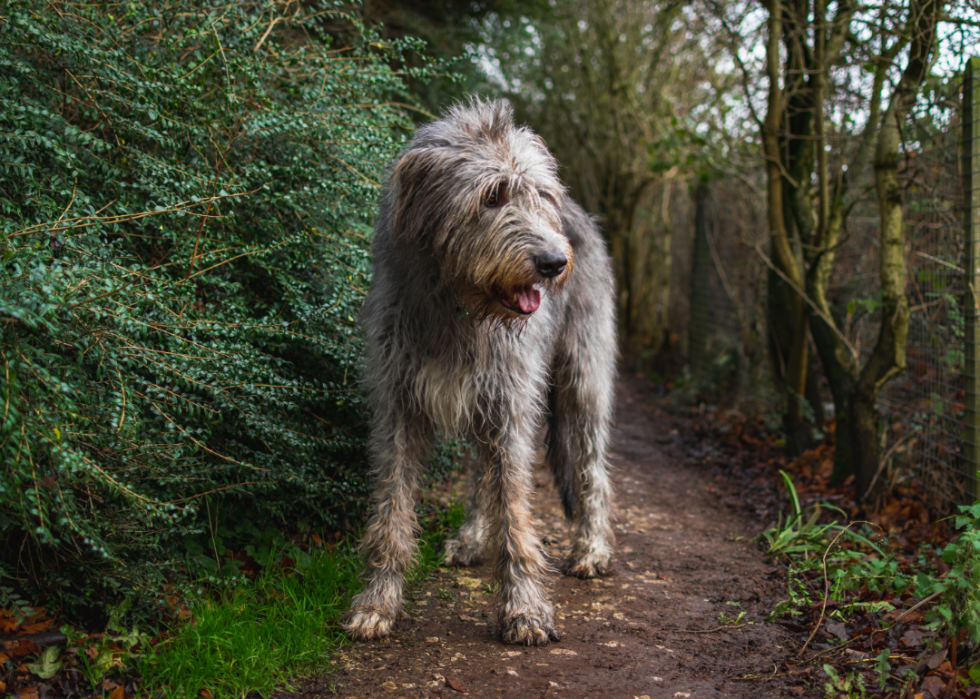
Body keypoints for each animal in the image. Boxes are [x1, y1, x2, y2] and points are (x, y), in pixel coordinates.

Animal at [344, 97, 616, 644]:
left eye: (540, 195)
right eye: (492, 196)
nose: (554, 263)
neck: (458, 307)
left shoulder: (510, 403)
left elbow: (514, 510)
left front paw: (525, 608)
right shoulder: (397, 406)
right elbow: (392, 509)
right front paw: (378, 601)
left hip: (584, 377)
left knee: (592, 465)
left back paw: (592, 549)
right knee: (478, 471)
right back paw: (473, 537)